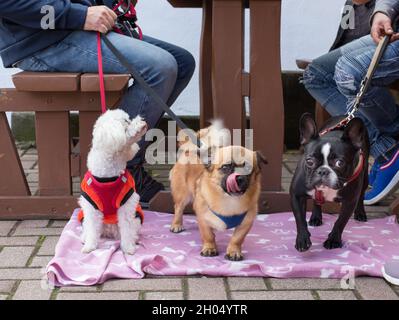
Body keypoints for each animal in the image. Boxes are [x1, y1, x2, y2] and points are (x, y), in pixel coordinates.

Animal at [169, 125, 266, 260]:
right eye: (225, 167)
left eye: (248, 168)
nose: (239, 177)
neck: (229, 200)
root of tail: (189, 150)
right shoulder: (203, 219)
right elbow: (208, 236)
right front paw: (210, 248)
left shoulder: (246, 223)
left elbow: (237, 239)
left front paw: (233, 251)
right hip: (182, 195)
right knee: (178, 208)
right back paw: (176, 225)